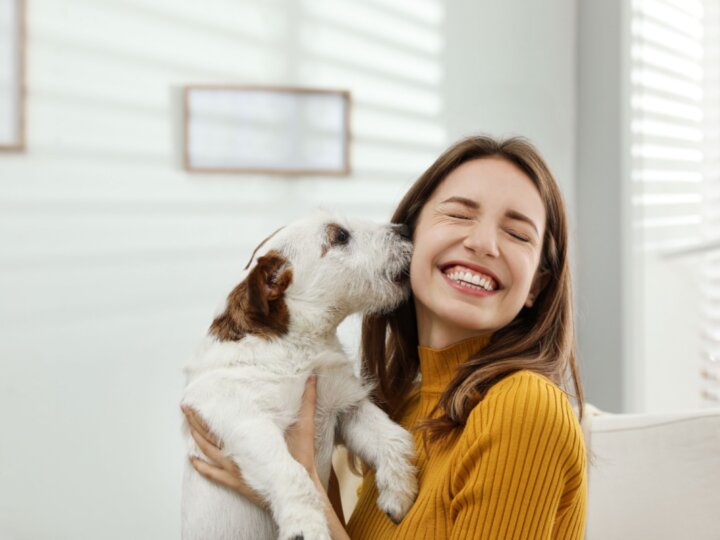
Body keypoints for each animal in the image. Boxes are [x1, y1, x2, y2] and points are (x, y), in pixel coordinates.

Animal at [180, 211, 420, 540]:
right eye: (340, 236)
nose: (406, 229)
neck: (299, 348)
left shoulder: (346, 408)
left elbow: (394, 438)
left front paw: (398, 492)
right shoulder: (244, 420)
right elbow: (291, 473)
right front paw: (306, 526)